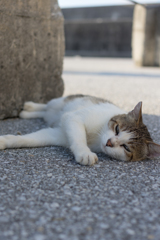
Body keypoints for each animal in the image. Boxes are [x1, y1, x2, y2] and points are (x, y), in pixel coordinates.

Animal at [0, 94, 160, 166]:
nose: (109, 142)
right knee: (47, 105)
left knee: (45, 113)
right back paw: (30, 106)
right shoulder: (74, 118)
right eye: (117, 129)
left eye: (126, 148)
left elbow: (28, 139)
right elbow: (79, 138)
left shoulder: (57, 134)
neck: (96, 138)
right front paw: (84, 152)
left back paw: (27, 113)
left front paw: (6, 140)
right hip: (61, 101)